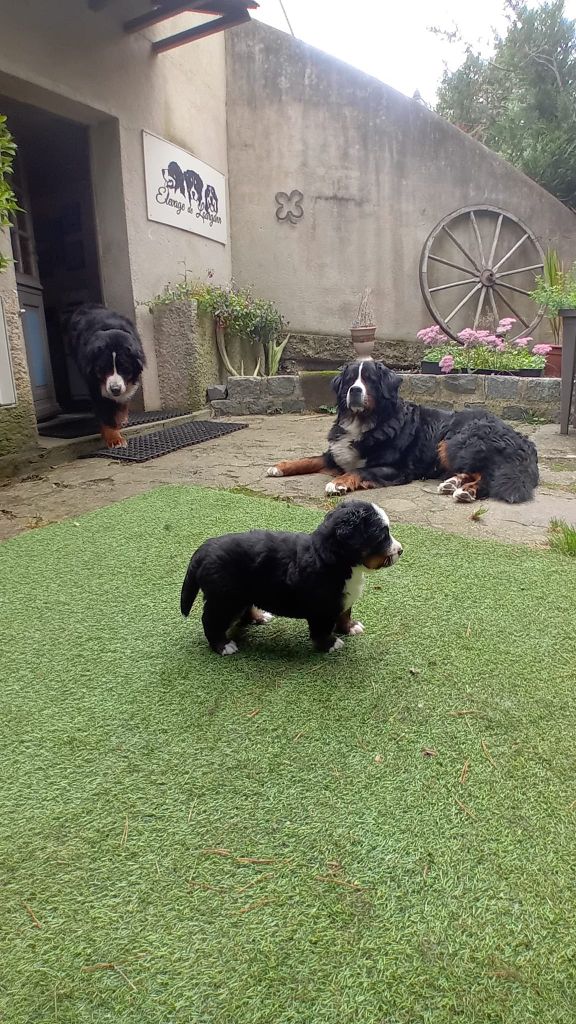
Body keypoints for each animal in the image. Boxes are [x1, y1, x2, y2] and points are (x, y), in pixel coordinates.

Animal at [66, 304, 146, 448]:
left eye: (124, 367)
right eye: (103, 368)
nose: (115, 389)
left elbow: (122, 401)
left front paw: (120, 419)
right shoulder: (94, 383)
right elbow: (105, 412)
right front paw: (115, 438)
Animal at [180, 500, 403, 655]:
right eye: (381, 536)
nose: (401, 550)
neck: (335, 560)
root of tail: (205, 548)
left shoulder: (342, 600)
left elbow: (345, 613)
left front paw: (350, 627)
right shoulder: (322, 608)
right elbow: (321, 629)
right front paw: (330, 644)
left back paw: (259, 616)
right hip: (224, 600)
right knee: (211, 621)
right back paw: (223, 645)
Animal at [267, 360, 539, 504]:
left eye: (369, 379)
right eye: (349, 380)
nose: (354, 391)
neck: (365, 421)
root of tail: (522, 439)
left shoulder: (395, 469)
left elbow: (358, 470)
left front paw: (339, 483)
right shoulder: (335, 454)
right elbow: (308, 459)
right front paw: (280, 466)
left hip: (455, 442)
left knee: (487, 475)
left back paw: (465, 491)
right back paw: (451, 483)